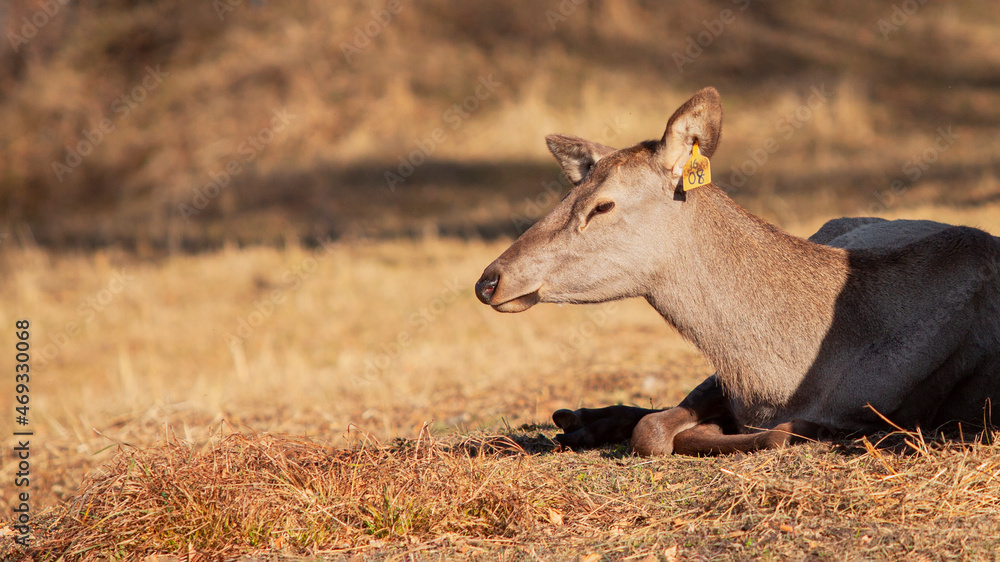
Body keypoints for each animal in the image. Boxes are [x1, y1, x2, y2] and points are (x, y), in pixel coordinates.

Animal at [474, 87, 1000, 456]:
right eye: (569, 193)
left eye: (602, 205)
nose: (488, 281)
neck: (785, 375)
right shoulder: (727, 379)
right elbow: (655, 427)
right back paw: (579, 419)